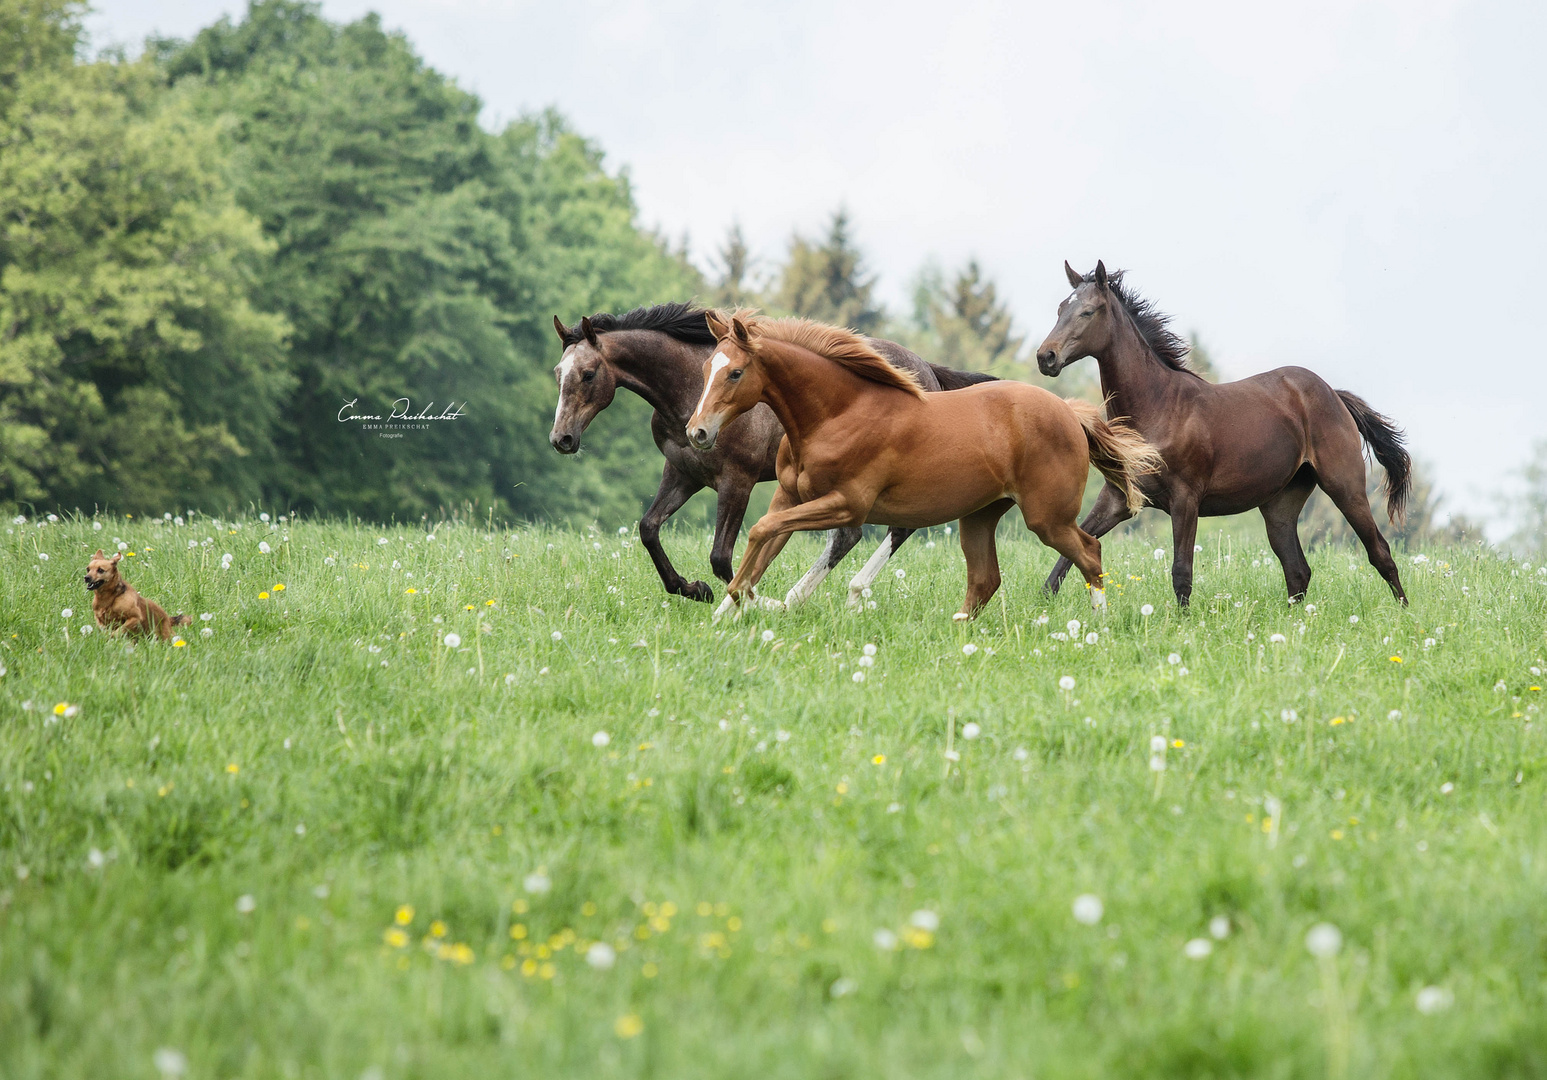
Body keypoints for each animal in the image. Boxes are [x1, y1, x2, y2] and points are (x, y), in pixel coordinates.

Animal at [550, 303, 996, 606]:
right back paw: (807, 596)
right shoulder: (682, 473)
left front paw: (745, 597)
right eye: (558, 373)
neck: (687, 390)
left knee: (896, 529)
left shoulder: (737, 480)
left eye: (588, 374)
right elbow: (648, 529)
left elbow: (721, 556)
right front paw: (692, 589)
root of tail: (928, 372)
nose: (562, 439)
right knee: (847, 535)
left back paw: (840, 594)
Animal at [686, 306, 1163, 618]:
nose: (697, 432)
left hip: (1047, 518)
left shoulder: (846, 506)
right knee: (985, 579)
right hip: (980, 516)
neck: (836, 415)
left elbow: (761, 534)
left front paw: (753, 601)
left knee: (1090, 553)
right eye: (707, 367)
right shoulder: (788, 498)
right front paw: (728, 613)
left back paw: (1098, 627)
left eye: (735, 373)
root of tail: (1069, 411)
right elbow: (764, 541)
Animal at [1033, 256, 1410, 600]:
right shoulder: (1117, 498)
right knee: (1297, 570)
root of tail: (1334, 394)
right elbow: (1065, 560)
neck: (1158, 407)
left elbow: (1181, 572)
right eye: (1060, 309)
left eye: (1088, 311)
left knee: (1380, 553)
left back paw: (1403, 613)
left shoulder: (1186, 499)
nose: (1045, 357)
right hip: (1280, 504)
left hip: (1345, 486)